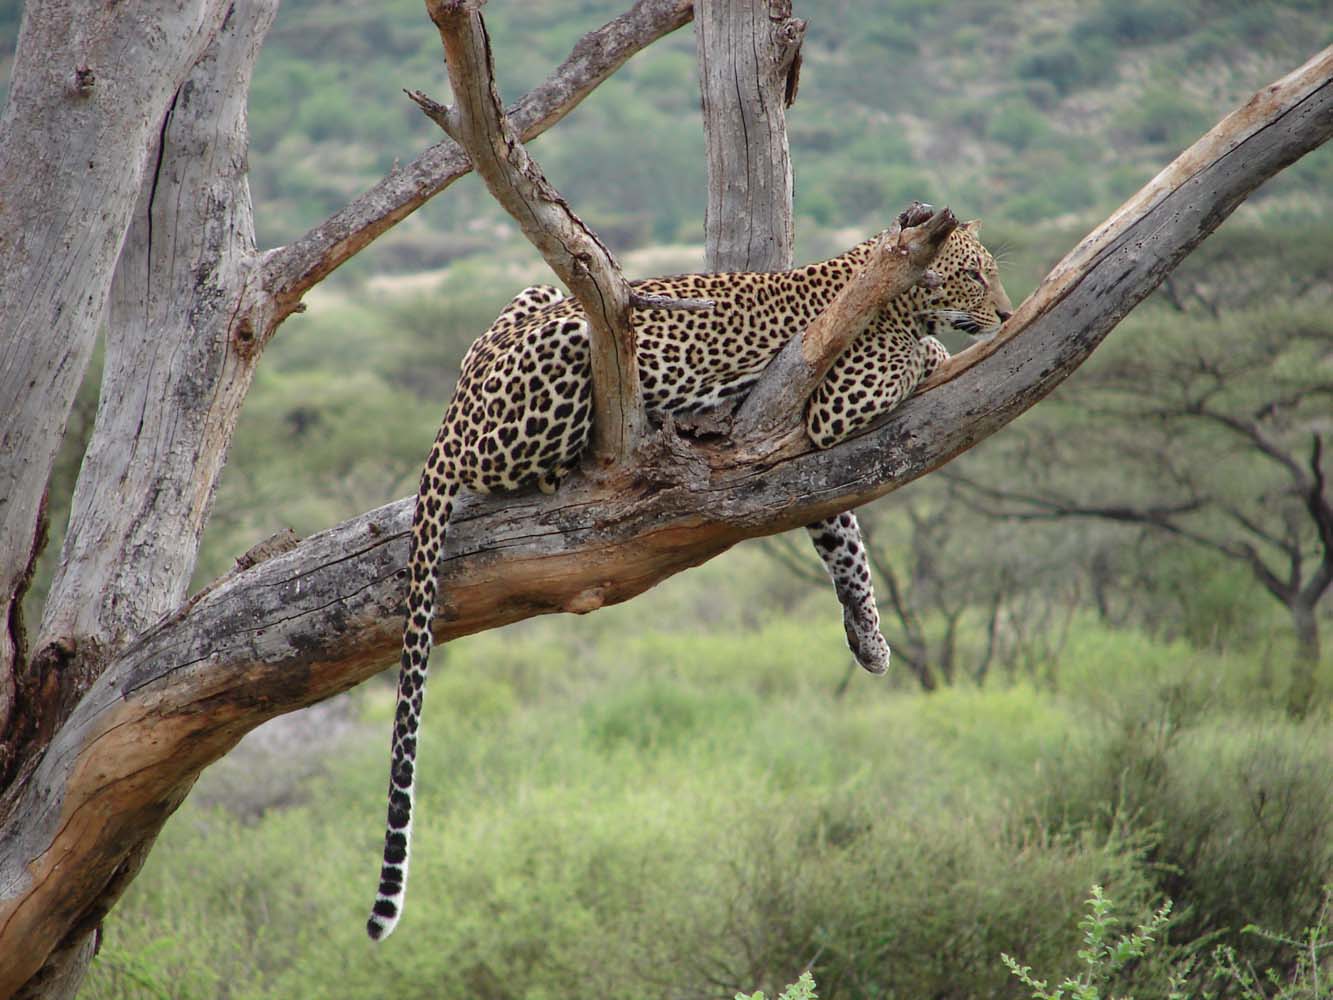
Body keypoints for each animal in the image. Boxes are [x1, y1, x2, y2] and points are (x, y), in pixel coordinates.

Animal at [365, 218, 1007, 938]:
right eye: (975, 274)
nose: (1007, 314)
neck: (887, 278)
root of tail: (452, 411)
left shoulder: (801, 452)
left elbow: (842, 538)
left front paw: (868, 638)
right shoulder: (836, 402)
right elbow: (912, 361)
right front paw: (933, 348)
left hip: (534, 295)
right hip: (565, 347)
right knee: (497, 466)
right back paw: (571, 463)